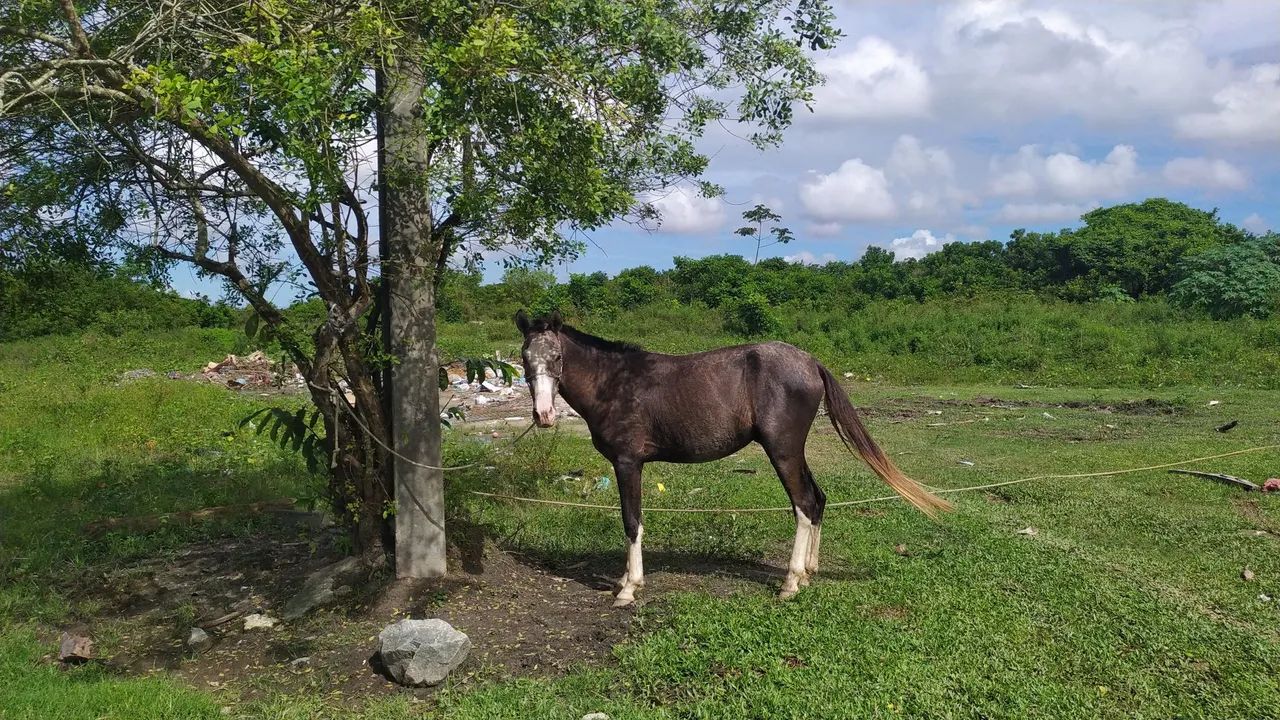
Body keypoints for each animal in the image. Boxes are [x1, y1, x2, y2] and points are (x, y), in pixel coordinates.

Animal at [515, 309, 951, 606]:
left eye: (556, 357)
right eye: (524, 358)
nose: (543, 416)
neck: (615, 384)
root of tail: (811, 362)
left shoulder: (627, 463)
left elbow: (632, 522)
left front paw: (629, 588)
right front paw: (625, 582)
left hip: (782, 450)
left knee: (804, 504)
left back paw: (791, 583)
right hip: (794, 452)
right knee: (818, 499)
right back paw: (809, 573)